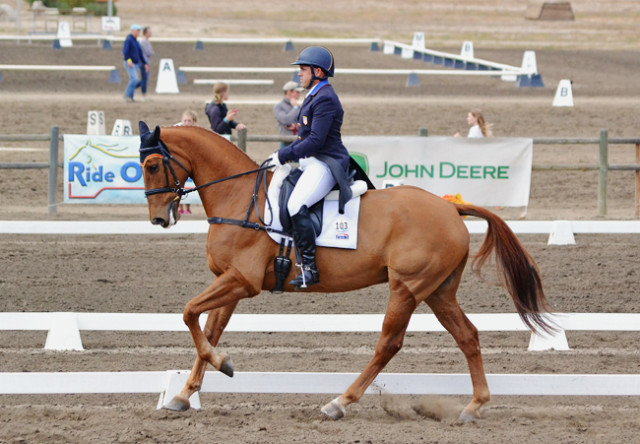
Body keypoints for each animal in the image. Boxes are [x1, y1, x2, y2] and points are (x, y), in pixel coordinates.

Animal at [138, 123, 552, 422]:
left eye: (152, 165)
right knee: (467, 336)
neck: (240, 197)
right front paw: (183, 394)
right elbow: (208, 330)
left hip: (407, 287)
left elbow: (189, 312)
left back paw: (339, 402)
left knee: (389, 344)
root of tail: (451, 208)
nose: (159, 219)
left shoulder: (242, 281)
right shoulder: (230, 281)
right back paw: (473, 406)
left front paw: (222, 365)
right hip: (438, 291)